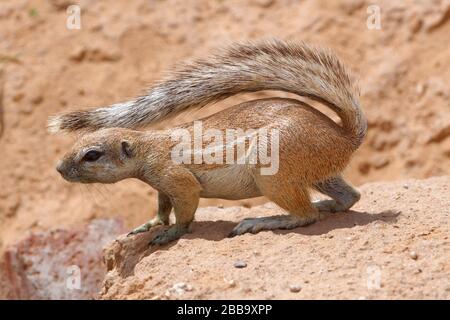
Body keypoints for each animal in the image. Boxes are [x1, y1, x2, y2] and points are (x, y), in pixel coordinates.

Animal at [49, 40, 366, 245]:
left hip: (272, 171)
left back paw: (262, 221)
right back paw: (329, 203)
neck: (147, 147)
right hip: (318, 173)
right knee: (350, 197)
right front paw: (152, 223)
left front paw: (169, 234)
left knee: (306, 215)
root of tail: (345, 136)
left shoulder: (178, 180)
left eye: (92, 155)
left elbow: (185, 211)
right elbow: (163, 206)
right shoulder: (163, 186)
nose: (59, 169)